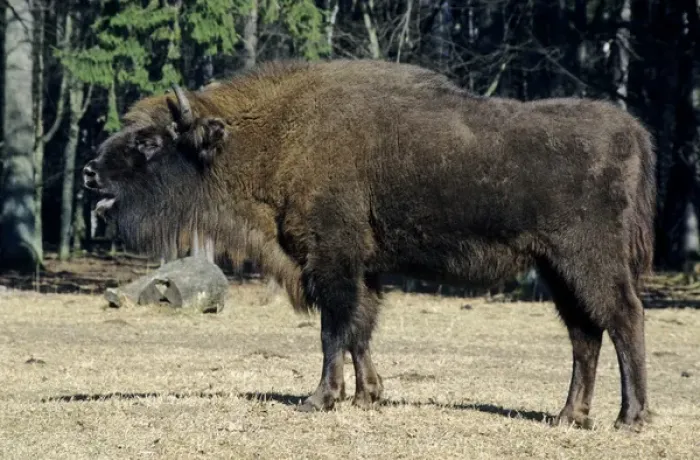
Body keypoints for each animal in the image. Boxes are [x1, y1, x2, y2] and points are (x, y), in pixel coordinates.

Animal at [83, 59, 656, 431]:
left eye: (150, 141)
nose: (90, 171)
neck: (276, 136)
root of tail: (630, 130)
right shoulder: (365, 270)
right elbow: (361, 329)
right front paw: (368, 396)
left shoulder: (332, 260)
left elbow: (333, 330)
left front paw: (320, 398)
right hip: (556, 269)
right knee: (585, 334)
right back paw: (568, 416)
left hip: (588, 260)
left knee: (624, 318)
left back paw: (628, 418)